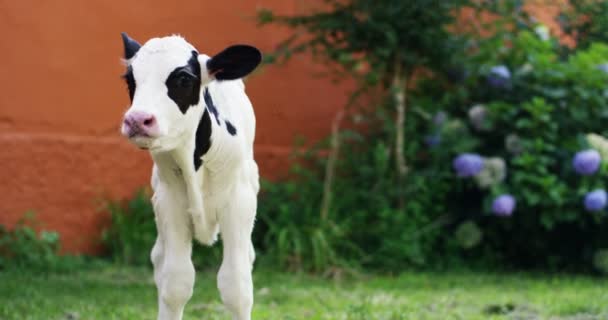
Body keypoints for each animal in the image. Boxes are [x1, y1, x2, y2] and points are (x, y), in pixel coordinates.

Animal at [119, 33, 262, 320]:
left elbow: (237, 288)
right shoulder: (169, 202)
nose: (138, 120)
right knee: (159, 261)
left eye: (184, 79)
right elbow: (176, 283)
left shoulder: (239, 203)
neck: (192, 160)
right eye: (130, 79)